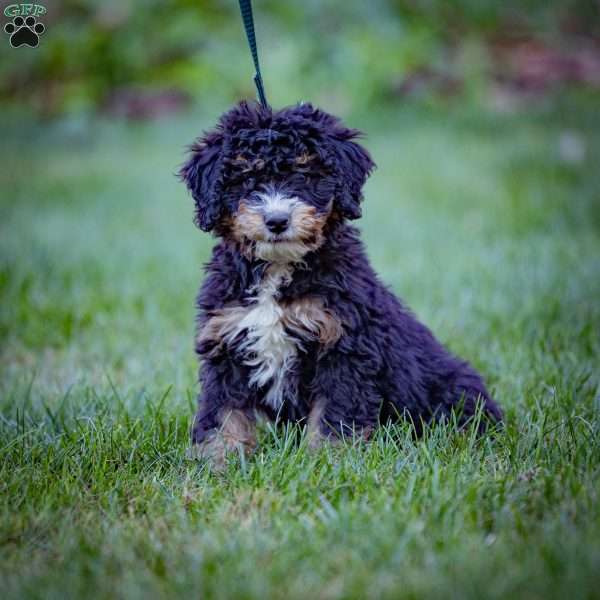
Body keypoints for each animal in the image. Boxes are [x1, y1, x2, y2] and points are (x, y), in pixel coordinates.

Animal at [179, 102, 502, 468]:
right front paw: (219, 460)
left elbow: (334, 413)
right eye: (247, 179)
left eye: (304, 176)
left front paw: (328, 460)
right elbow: (224, 410)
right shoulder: (227, 341)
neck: (279, 271)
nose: (277, 220)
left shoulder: (344, 346)